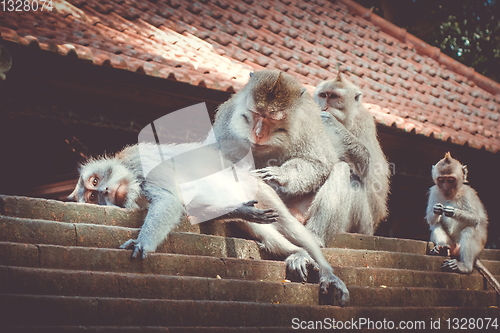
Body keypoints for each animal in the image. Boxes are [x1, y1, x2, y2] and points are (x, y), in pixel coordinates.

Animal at [312, 72, 390, 233]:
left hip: (366, 224)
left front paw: (331, 122)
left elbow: (367, 165)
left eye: (334, 96)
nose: (324, 107)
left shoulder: (364, 122)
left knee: (355, 179)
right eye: (323, 95)